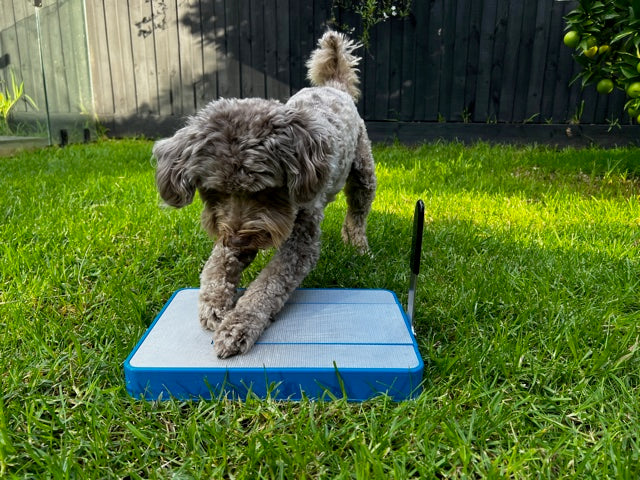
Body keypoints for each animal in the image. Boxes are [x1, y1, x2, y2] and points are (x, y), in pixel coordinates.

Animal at [154, 30, 376, 358]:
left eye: (264, 190)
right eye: (213, 191)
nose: (236, 239)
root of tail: (333, 86)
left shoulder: (299, 242)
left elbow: (267, 286)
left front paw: (239, 323)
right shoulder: (233, 231)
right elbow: (216, 265)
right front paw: (213, 304)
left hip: (363, 174)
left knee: (357, 213)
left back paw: (358, 245)